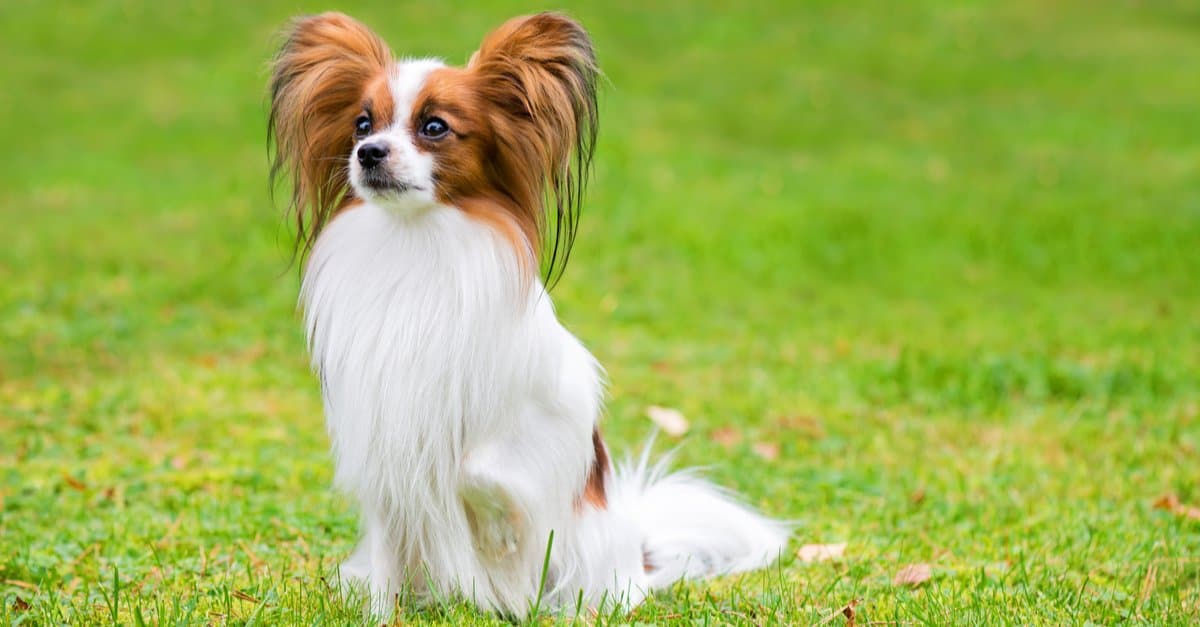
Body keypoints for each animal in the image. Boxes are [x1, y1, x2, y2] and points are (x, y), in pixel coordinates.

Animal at [268, 9, 792, 614]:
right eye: (360, 124)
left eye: (434, 127)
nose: (369, 152)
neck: (417, 244)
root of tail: (636, 553)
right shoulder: (380, 440)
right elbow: (389, 544)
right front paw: (380, 613)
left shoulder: (552, 409)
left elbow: (478, 469)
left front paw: (498, 534)